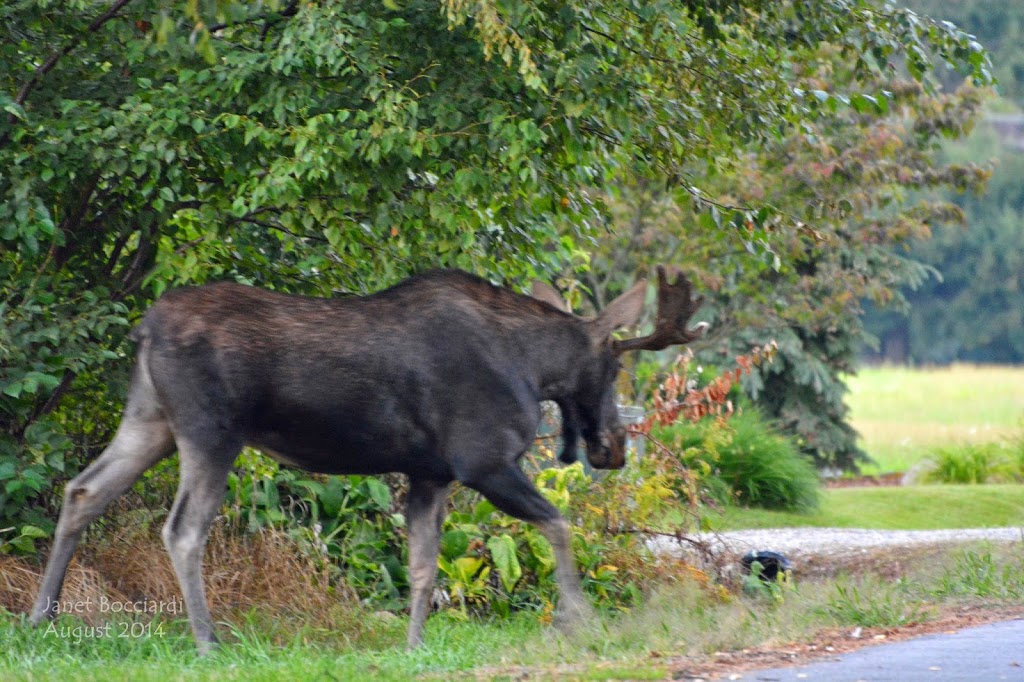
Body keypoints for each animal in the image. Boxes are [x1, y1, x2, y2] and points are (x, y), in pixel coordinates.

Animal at [29, 264, 704, 647]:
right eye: (614, 367)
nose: (613, 448)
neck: (533, 367)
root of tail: (144, 329)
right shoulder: (484, 461)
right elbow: (559, 524)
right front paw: (577, 621)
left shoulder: (431, 473)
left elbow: (424, 566)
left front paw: (414, 646)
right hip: (210, 432)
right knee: (183, 530)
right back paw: (207, 640)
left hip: (152, 421)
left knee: (82, 490)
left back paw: (41, 618)